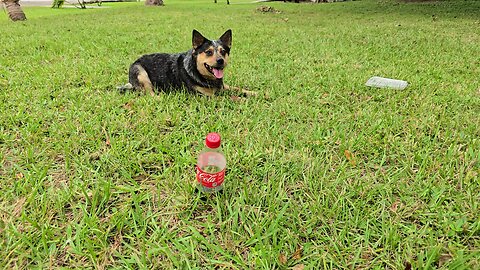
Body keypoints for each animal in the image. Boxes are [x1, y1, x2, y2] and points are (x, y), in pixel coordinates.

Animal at [122, 29, 255, 97]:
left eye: (223, 51)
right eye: (208, 52)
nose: (220, 61)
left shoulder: (222, 86)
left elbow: (237, 89)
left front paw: (255, 93)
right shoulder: (207, 96)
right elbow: (232, 97)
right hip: (141, 73)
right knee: (150, 94)